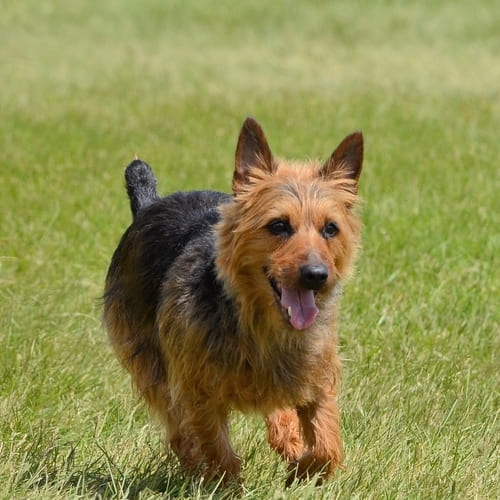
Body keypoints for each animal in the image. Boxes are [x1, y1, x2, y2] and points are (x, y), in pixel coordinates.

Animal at [103, 117, 364, 484]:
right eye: (278, 225)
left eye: (330, 229)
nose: (316, 274)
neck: (260, 325)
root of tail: (150, 205)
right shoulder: (197, 390)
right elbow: (217, 451)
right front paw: (224, 485)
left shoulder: (318, 377)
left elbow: (327, 445)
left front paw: (301, 471)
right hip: (148, 365)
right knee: (177, 430)